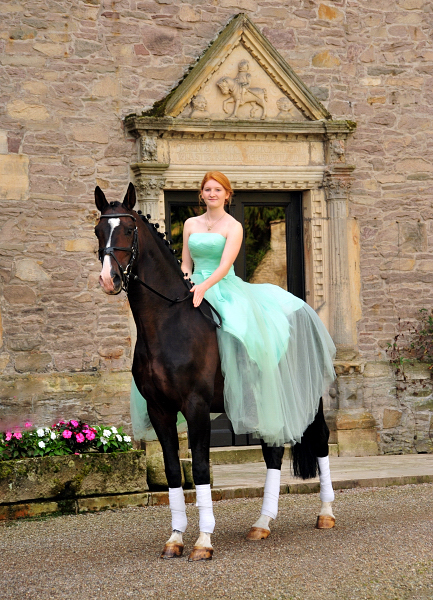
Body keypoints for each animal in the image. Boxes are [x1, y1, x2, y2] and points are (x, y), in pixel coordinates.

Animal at [94, 183, 336, 564]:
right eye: (98, 230)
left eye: (129, 230)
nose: (109, 278)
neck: (169, 322)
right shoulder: (159, 410)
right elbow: (173, 471)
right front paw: (175, 538)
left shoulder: (195, 407)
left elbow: (201, 469)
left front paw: (204, 541)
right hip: (264, 399)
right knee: (272, 452)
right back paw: (261, 524)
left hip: (308, 397)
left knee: (322, 441)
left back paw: (325, 514)